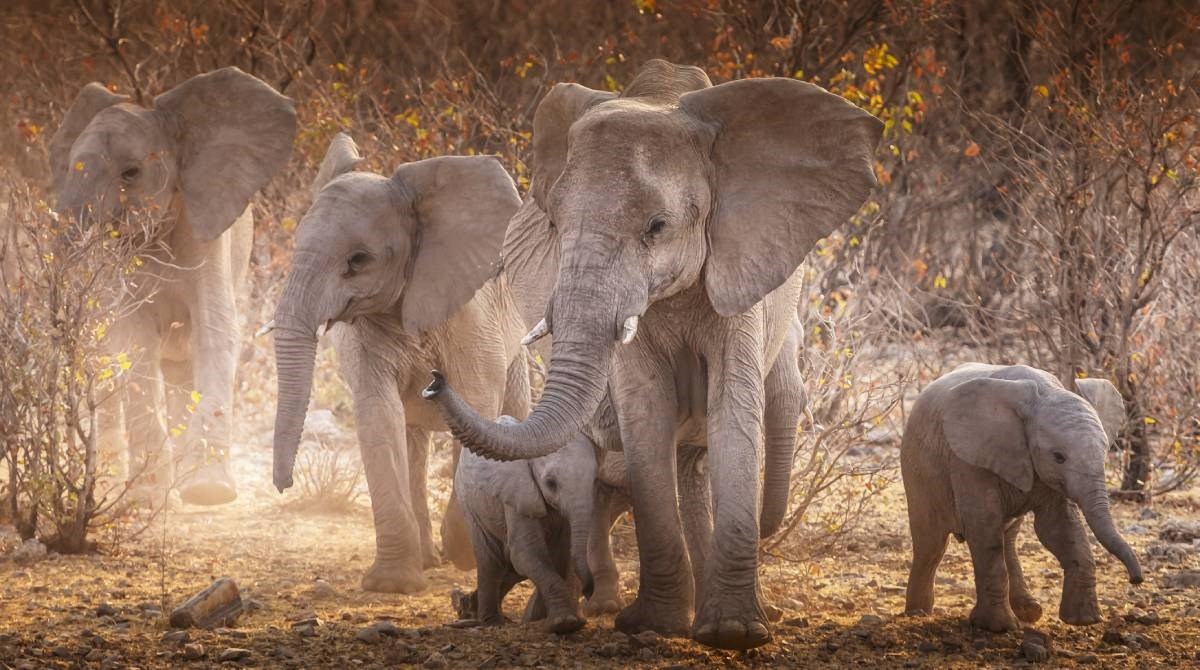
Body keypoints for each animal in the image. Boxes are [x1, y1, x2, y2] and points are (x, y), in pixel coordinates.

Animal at [49, 69, 297, 509]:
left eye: (131, 172)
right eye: (68, 166)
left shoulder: (207, 231)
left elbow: (215, 329)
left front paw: (209, 493)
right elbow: (133, 340)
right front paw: (147, 499)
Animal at [267, 133, 530, 595]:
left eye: (358, 260)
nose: (285, 484)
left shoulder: (472, 314)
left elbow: (478, 403)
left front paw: (464, 554)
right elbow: (378, 414)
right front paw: (393, 584)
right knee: (411, 437)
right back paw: (426, 560)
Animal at [451, 422, 597, 638]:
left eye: (594, 480)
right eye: (551, 483)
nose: (588, 591)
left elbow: (559, 557)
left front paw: (550, 619)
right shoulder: (518, 497)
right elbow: (526, 554)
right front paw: (564, 623)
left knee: (508, 568)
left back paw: (471, 609)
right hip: (468, 504)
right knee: (490, 559)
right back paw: (490, 622)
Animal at [902, 365, 1142, 633]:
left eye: (1105, 453)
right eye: (1058, 457)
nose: (1136, 579)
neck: (1044, 392)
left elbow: (1059, 526)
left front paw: (1085, 620)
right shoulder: (969, 459)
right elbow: (983, 524)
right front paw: (998, 627)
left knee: (1007, 536)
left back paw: (1030, 612)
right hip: (918, 470)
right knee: (931, 542)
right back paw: (918, 613)